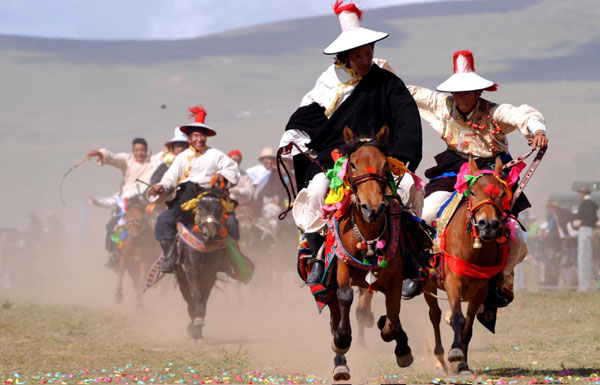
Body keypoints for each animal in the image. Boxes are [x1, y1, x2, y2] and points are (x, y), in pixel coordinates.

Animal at [173, 186, 237, 340]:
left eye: (219, 208)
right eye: (200, 207)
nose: (210, 235)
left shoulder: (210, 274)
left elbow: (204, 297)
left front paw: (198, 328)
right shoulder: (190, 270)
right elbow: (195, 295)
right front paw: (196, 325)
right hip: (180, 272)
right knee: (187, 295)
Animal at [324, 127, 412, 380]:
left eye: (385, 165)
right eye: (352, 164)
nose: (372, 208)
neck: (368, 235)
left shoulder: (395, 277)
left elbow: (393, 316)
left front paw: (401, 346)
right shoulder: (342, 267)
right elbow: (345, 297)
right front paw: (342, 340)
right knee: (335, 317)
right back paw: (340, 364)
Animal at [424, 155, 512, 376]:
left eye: (501, 194)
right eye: (472, 192)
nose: (488, 225)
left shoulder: (481, 289)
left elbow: (468, 327)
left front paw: (463, 365)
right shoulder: (453, 282)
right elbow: (457, 318)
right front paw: (455, 353)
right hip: (428, 286)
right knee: (435, 316)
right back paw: (440, 361)